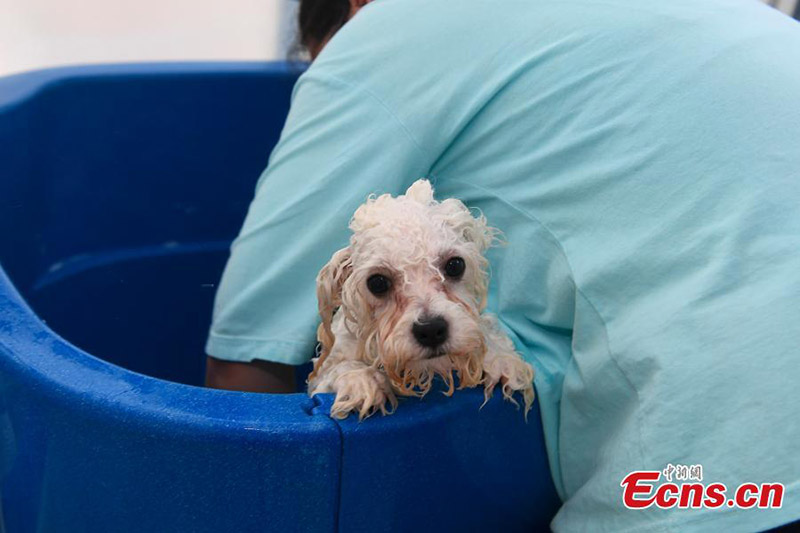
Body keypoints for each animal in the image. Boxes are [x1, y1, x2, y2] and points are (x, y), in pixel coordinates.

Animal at [310, 180, 536, 420]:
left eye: (455, 265)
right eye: (377, 282)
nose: (431, 330)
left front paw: (501, 358)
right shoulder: (321, 377)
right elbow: (337, 369)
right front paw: (361, 380)